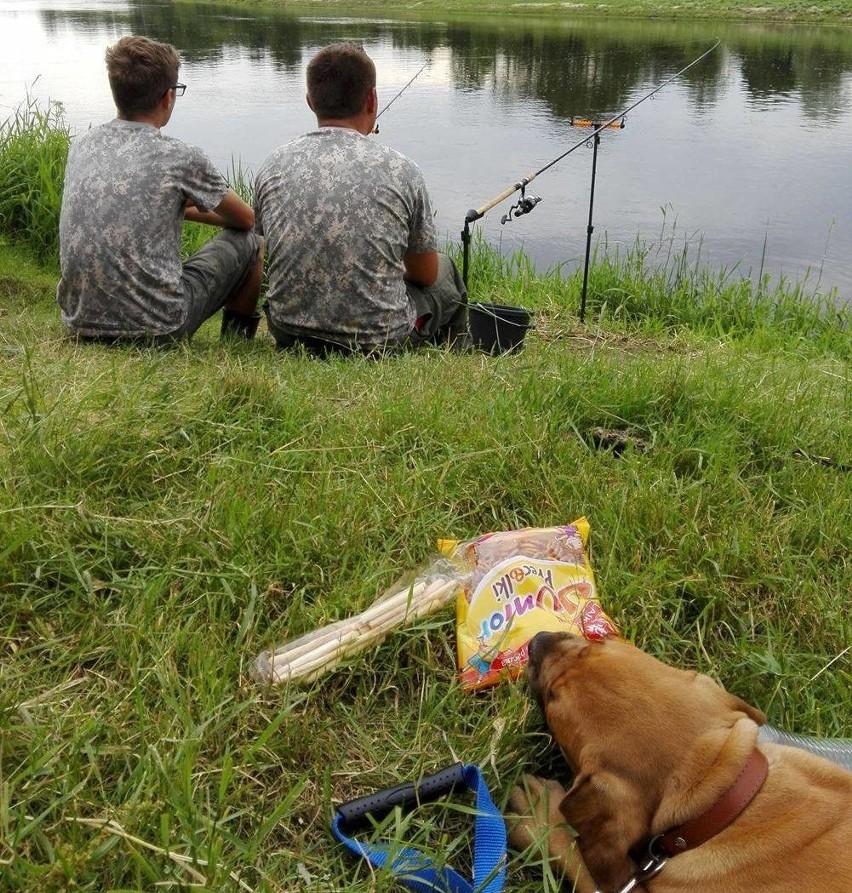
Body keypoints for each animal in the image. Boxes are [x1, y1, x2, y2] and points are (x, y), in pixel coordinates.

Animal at [506, 632, 852, 892]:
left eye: (552, 697)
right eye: (596, 643)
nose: (536, 639)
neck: (724, 797)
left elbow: (583, 863)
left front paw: (540, 816)